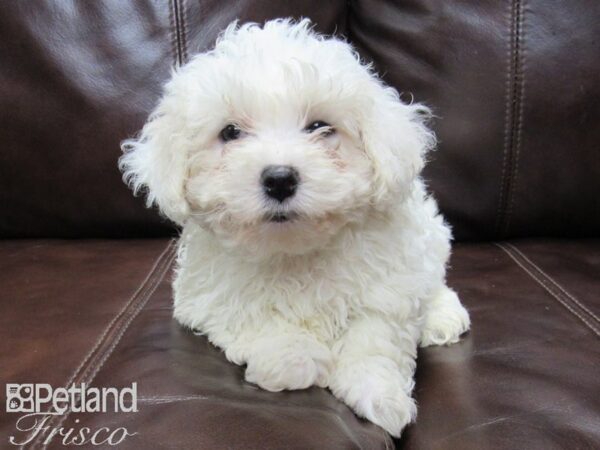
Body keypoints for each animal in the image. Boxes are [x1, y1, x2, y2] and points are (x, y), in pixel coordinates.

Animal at [119, 18, 472, 436]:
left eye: (320, 127)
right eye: (230, 132)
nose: (279, 179)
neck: (294, 249)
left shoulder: (389, 285)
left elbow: (374, 335)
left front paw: (378, 394)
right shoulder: (207, 295)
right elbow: (252, 317)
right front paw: (293, 359)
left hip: (430, 237)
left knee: (431, 280)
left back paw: (442, 315)